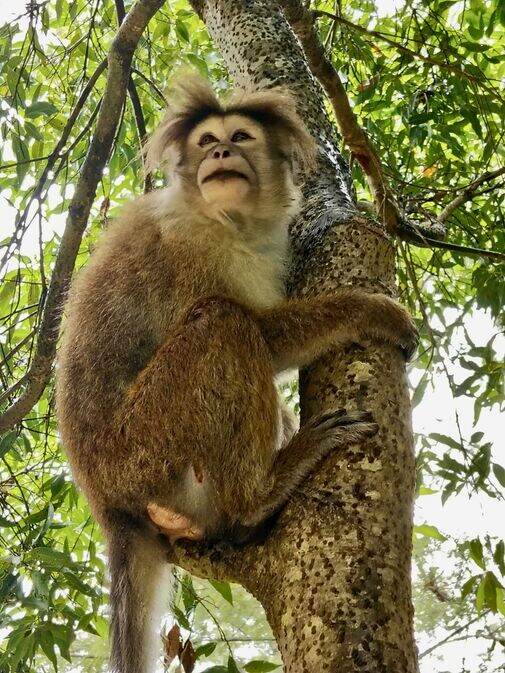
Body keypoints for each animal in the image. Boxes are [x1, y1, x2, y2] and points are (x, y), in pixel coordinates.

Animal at [55, 75, 418, 673]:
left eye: (240, 136)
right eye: (207, 141)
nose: (221, 154)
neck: (228, 220)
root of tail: (109, 507)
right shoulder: (189, 248)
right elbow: (266, 339)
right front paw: (369, 311)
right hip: (145, 450)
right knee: (223, 323)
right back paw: (258, 498)